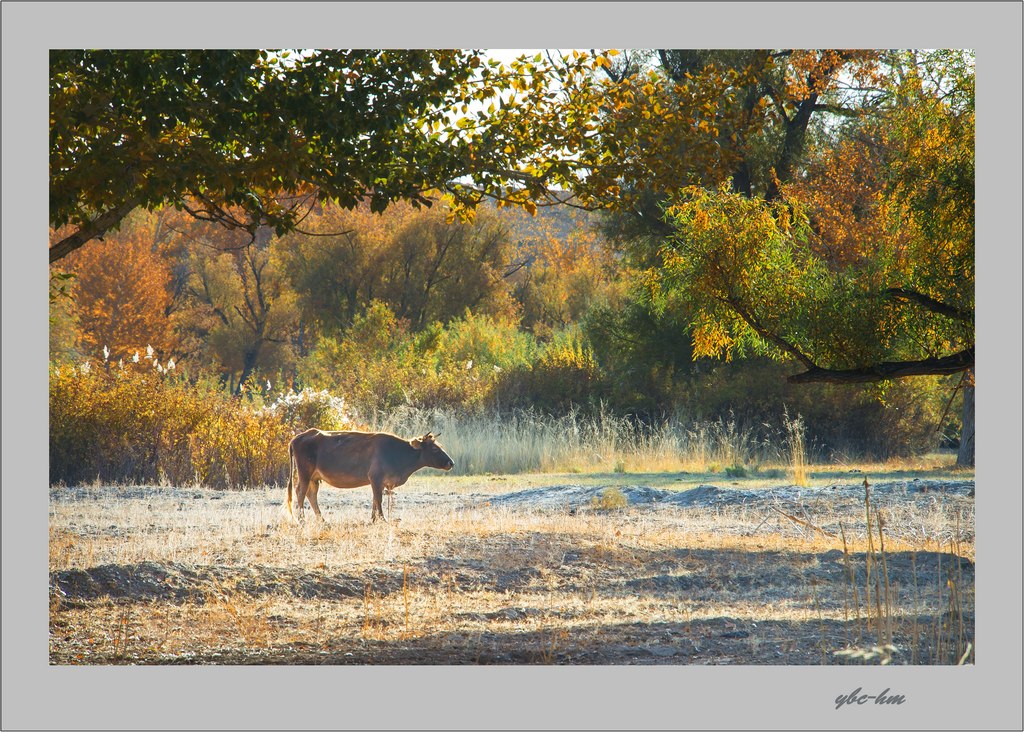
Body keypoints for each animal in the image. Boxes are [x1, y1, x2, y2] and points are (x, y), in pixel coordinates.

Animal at [284, 425, 452, 524]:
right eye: (435, 449)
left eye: (440, 446)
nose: (451, 463)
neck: (399, 453)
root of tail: (298, 437)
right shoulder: (376, 478)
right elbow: (378, 500)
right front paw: (383, 519)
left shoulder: (378, 482)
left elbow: (375, 500)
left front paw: (373, 519)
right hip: (305, 473)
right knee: (300, 492)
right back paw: (301, 520)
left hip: (314, 477)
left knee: (311, 495)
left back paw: (322, 520)